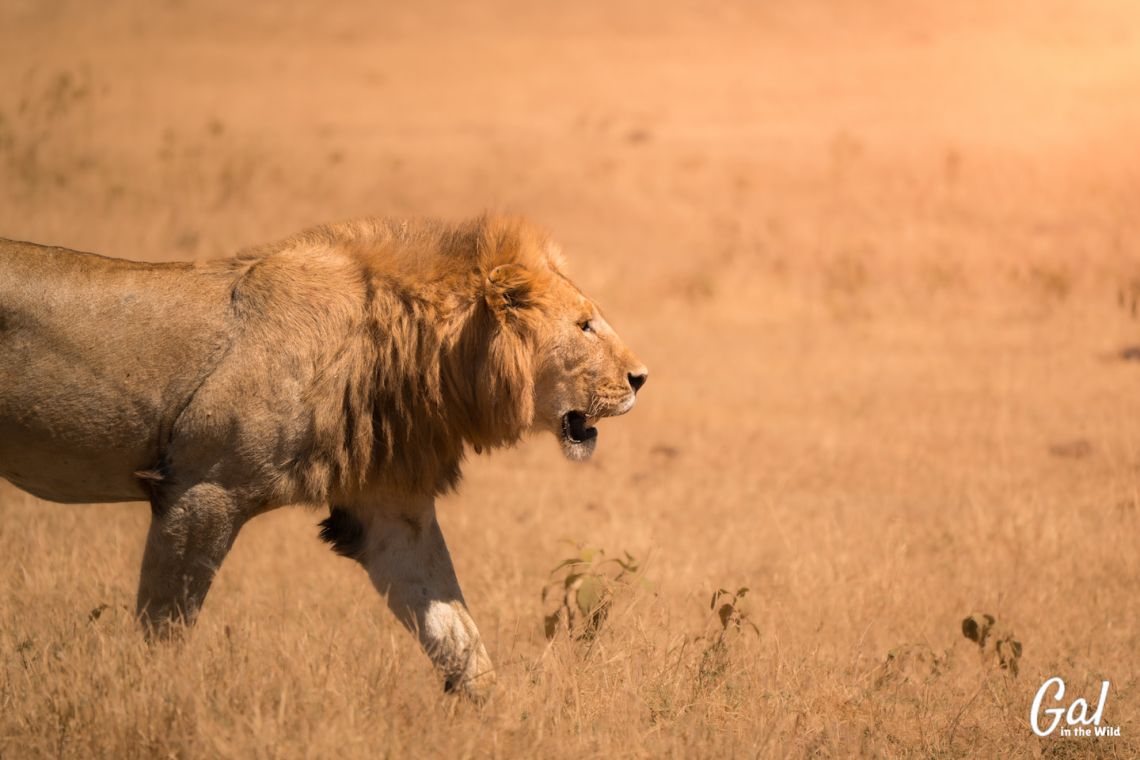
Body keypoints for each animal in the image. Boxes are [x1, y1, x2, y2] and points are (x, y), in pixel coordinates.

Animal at [0, 215, 647, 699]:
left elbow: (456, 630)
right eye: (585, 325)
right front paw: (155, 704)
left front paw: (501, 722)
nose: (642, 378)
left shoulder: (388, 512)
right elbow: (166, 627)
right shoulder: (200, 488)